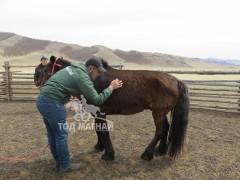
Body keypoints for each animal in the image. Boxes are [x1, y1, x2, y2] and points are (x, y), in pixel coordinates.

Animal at [41, 55, 189, 161]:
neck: (92, 79)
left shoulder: (100, 112)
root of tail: (177, 81)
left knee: (160, 131)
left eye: (44, 70)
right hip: (161, 112)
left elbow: (104, 130)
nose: (38, 83)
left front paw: (108, 154)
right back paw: (160, 150)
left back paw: (147, 155)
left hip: (158, 113)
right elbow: (98, 129)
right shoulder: (96, 113)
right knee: (166, 128)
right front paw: (99, 146)